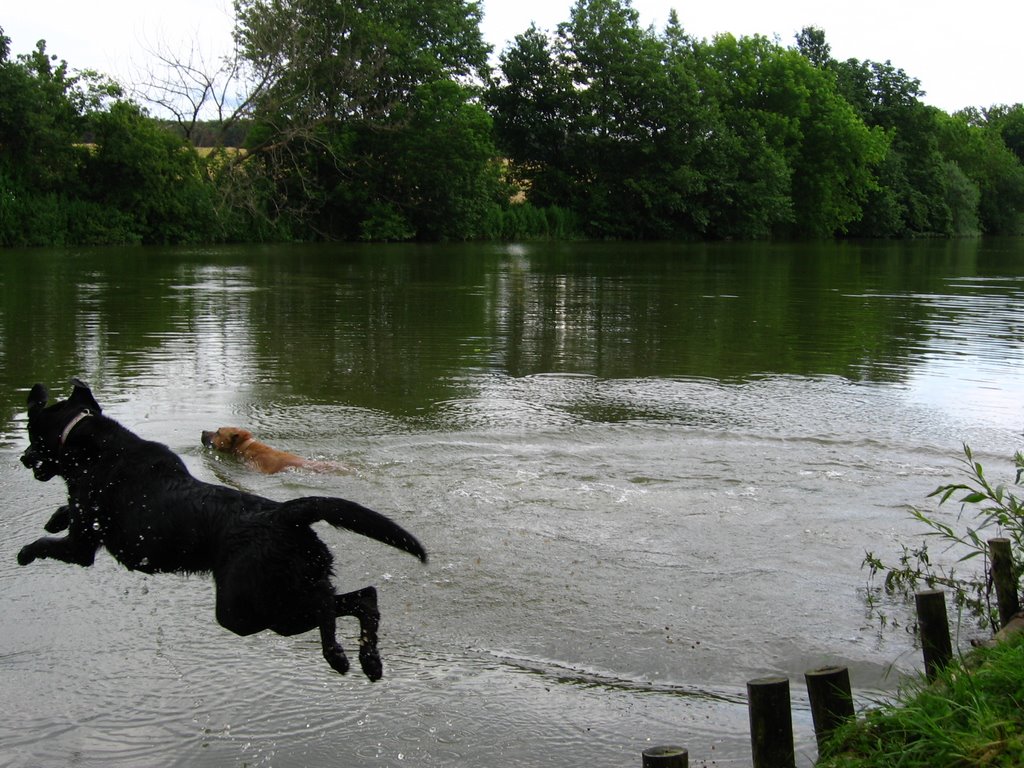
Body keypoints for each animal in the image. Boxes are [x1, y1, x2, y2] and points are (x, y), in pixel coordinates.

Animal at [17, 380, 423, 679]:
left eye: (31, 436)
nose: (22, 458)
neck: (92, 443)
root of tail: (286, 514)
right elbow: (62, 514)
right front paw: (55, 517)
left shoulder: (80, 548)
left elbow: (44, 543)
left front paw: (23, 553)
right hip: (289, 588)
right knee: (363, 598)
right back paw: (369, 661)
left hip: (249, 609)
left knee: (330, 604)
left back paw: (338, 655)